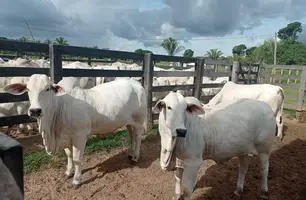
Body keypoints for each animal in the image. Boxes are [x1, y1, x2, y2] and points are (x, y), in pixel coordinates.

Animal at [4, 74, 148, 188]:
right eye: (28, 89)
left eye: (47, 89)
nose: (35, 110)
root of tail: (137, 84)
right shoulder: (65, 136)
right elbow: (69, 155)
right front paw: (68, 172)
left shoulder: (80, 136)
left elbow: (77, 159)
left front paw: (76, 180)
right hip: (129, 122)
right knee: (132, 136)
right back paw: (130, 153)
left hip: (139, 121)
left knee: (138, 137)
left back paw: (135, 156)